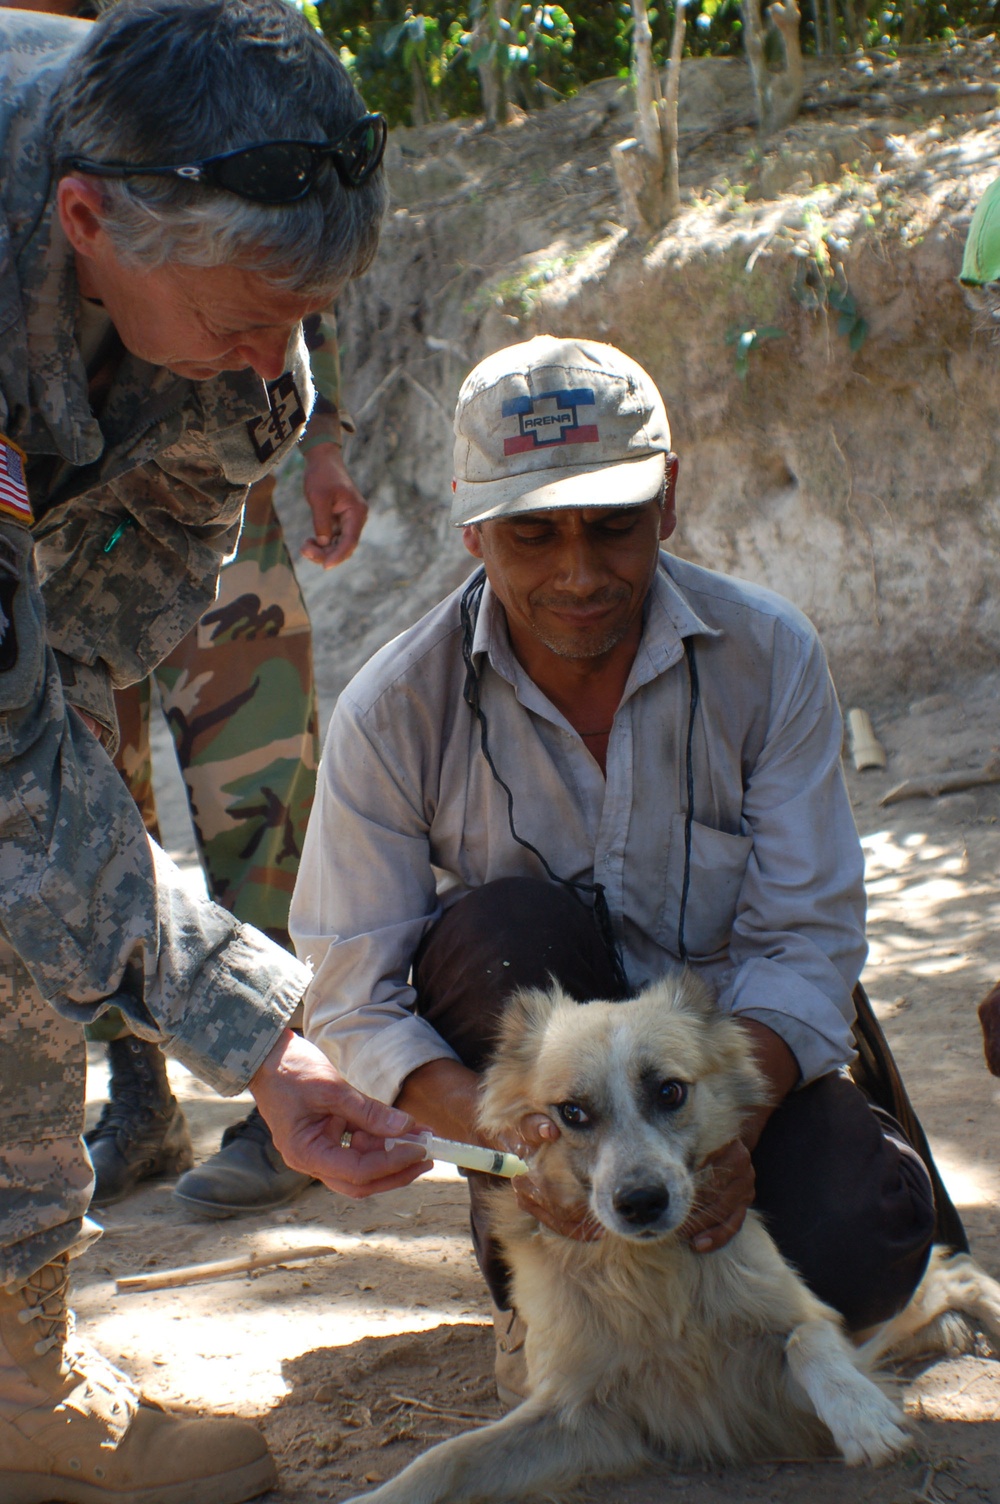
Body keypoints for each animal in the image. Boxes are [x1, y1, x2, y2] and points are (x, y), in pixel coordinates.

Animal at [345, 968, 998, 1497]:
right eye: (571, 1113)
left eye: (670, 1091)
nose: (641, 1203)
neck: (648, 1275)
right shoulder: (580, 1414)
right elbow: (446, 1459)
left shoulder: (780, 1374)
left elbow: (805, 1338)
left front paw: (862, 1416)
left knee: (953, 1270)